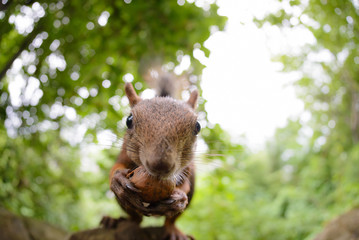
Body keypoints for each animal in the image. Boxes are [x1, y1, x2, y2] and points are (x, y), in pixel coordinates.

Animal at [102, 72, 200, 240]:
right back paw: (116, 220)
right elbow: (116, 167)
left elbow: (185, 184)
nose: (160, 165)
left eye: (198, 127)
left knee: (170, 220)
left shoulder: (188, 168)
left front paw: (179, 197)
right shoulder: (124, 153)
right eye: (129, 120)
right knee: (136, 219)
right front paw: (118, 179)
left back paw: (174, 230)